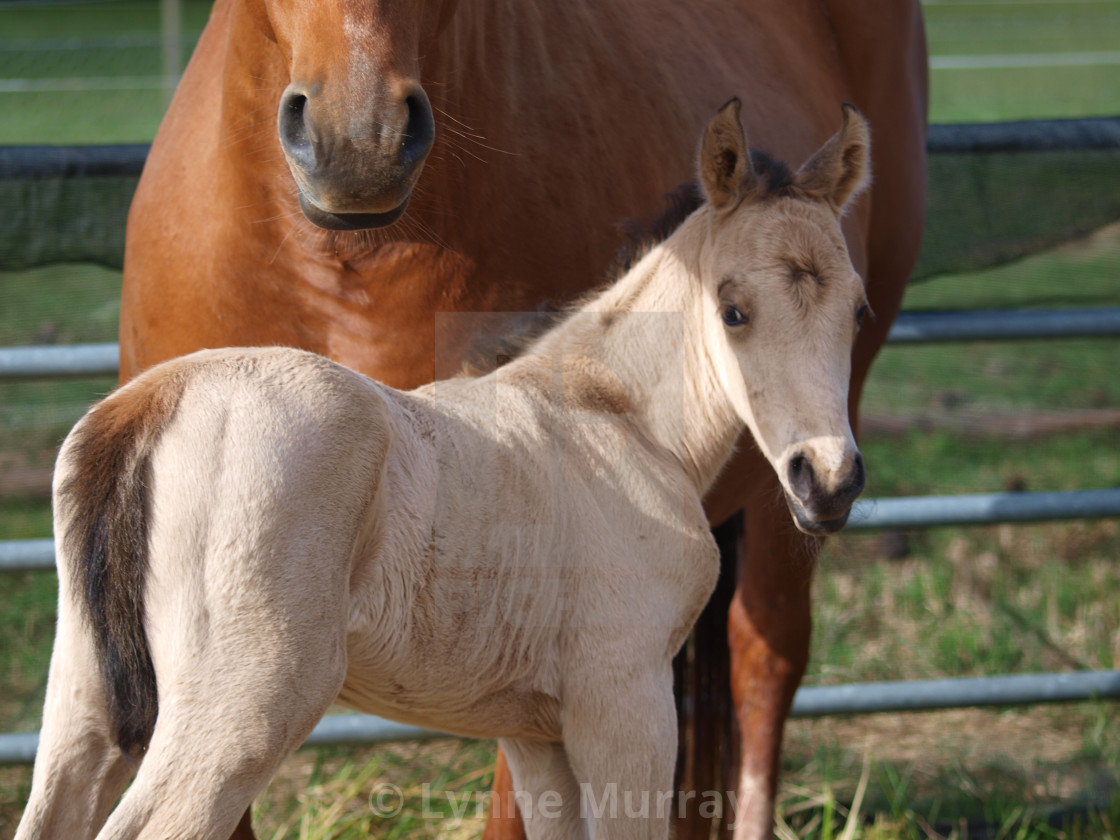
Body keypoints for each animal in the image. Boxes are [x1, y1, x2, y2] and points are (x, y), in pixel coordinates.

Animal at [21, 100, 869, 840]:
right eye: (733, 310)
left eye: (859, 310)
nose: (826, 480)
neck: (620, 417)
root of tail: (153, 400)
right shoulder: (624, 703)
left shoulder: (538, 733)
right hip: (242, 706)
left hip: (83, 704)